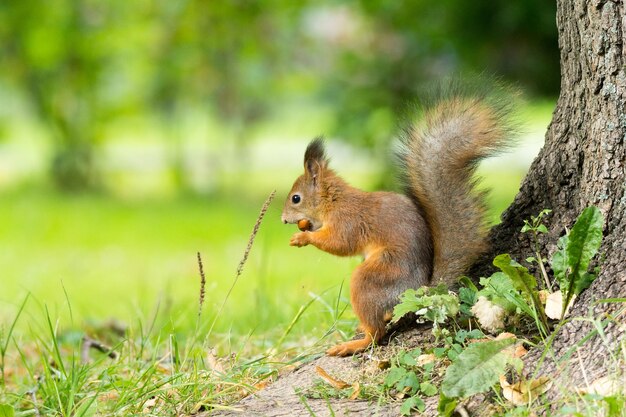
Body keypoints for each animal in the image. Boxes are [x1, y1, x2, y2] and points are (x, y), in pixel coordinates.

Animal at [280, 87, 516, 354]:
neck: (334, 201)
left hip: (375, 277)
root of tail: (418, 291)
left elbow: (340, 244)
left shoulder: (348, 221)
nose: (283, 219)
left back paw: (355, 343)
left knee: (377, 333)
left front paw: (303, 237)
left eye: (296, 198)